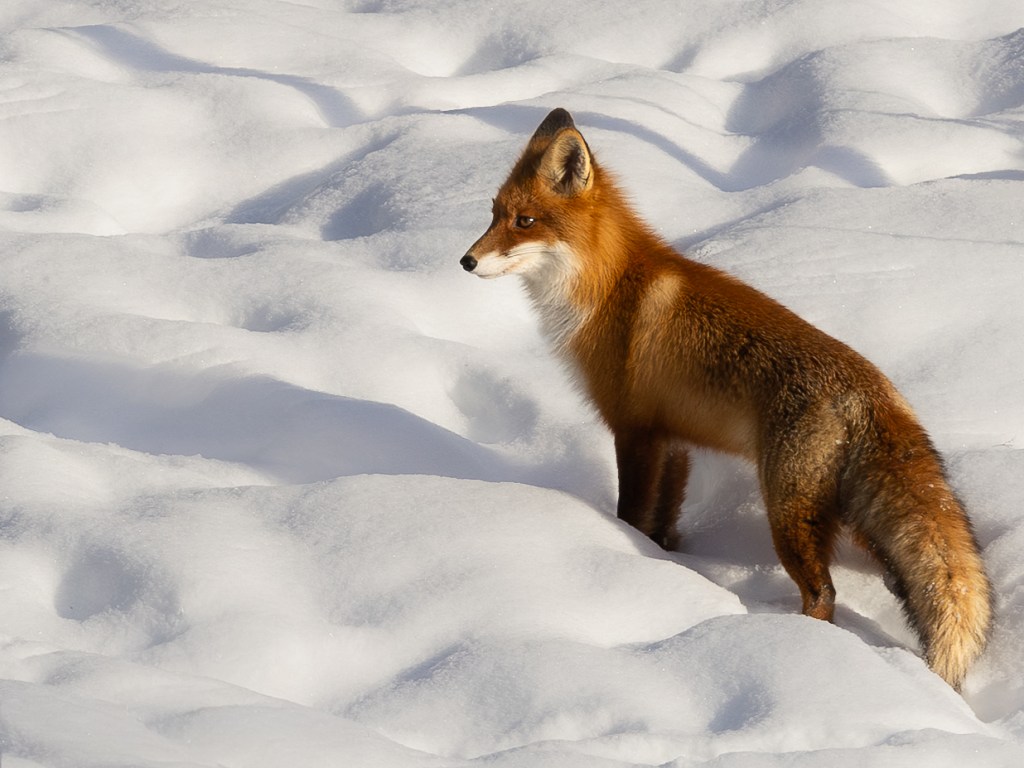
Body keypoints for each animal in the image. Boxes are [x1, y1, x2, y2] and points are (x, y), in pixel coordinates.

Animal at [460, 108, 992, 691]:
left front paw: (630, 556)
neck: (607, 284)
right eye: (493, 214)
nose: (465, 261)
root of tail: (873, 390)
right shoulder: (673, 439)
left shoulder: (634, 430)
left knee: (823, 592)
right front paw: (665, 561)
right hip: (850, 513)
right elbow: (662, 525)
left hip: (787, 510)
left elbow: (630, 516)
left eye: (525, 221)